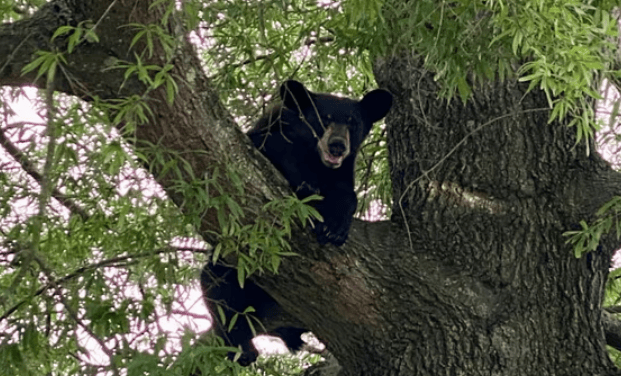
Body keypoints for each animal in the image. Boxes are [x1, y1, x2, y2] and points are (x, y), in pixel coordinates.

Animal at [202, 80, 392, 364]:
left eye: (353, 123)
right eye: (324, 119)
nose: (337, 145)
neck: (316, 160)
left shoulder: (343, 172)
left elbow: (347, 194)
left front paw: (335, 227)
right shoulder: (270, 132)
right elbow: (270, 149)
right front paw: (306, 186)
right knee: (216, 285)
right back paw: (244, 347)